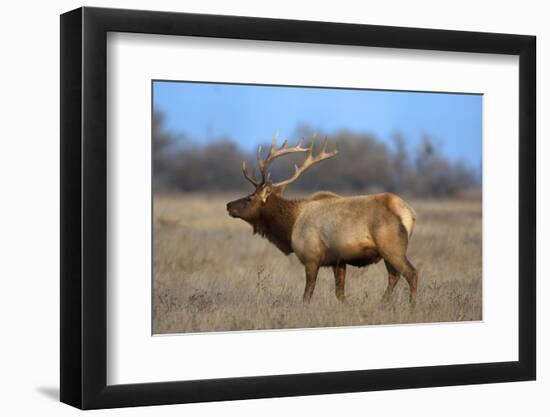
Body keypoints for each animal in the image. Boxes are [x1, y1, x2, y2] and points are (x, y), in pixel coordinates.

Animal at [226, 136, 420, 302]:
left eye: (250, 198)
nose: (228, 205)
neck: (289, 227)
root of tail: (409, 214)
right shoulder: (338, 261)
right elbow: (340, 295)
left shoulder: (311, 257)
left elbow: (307, 296)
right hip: (388, 252)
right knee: (394, 276)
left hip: (392, 247)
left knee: (411, 273)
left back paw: (411, 306)